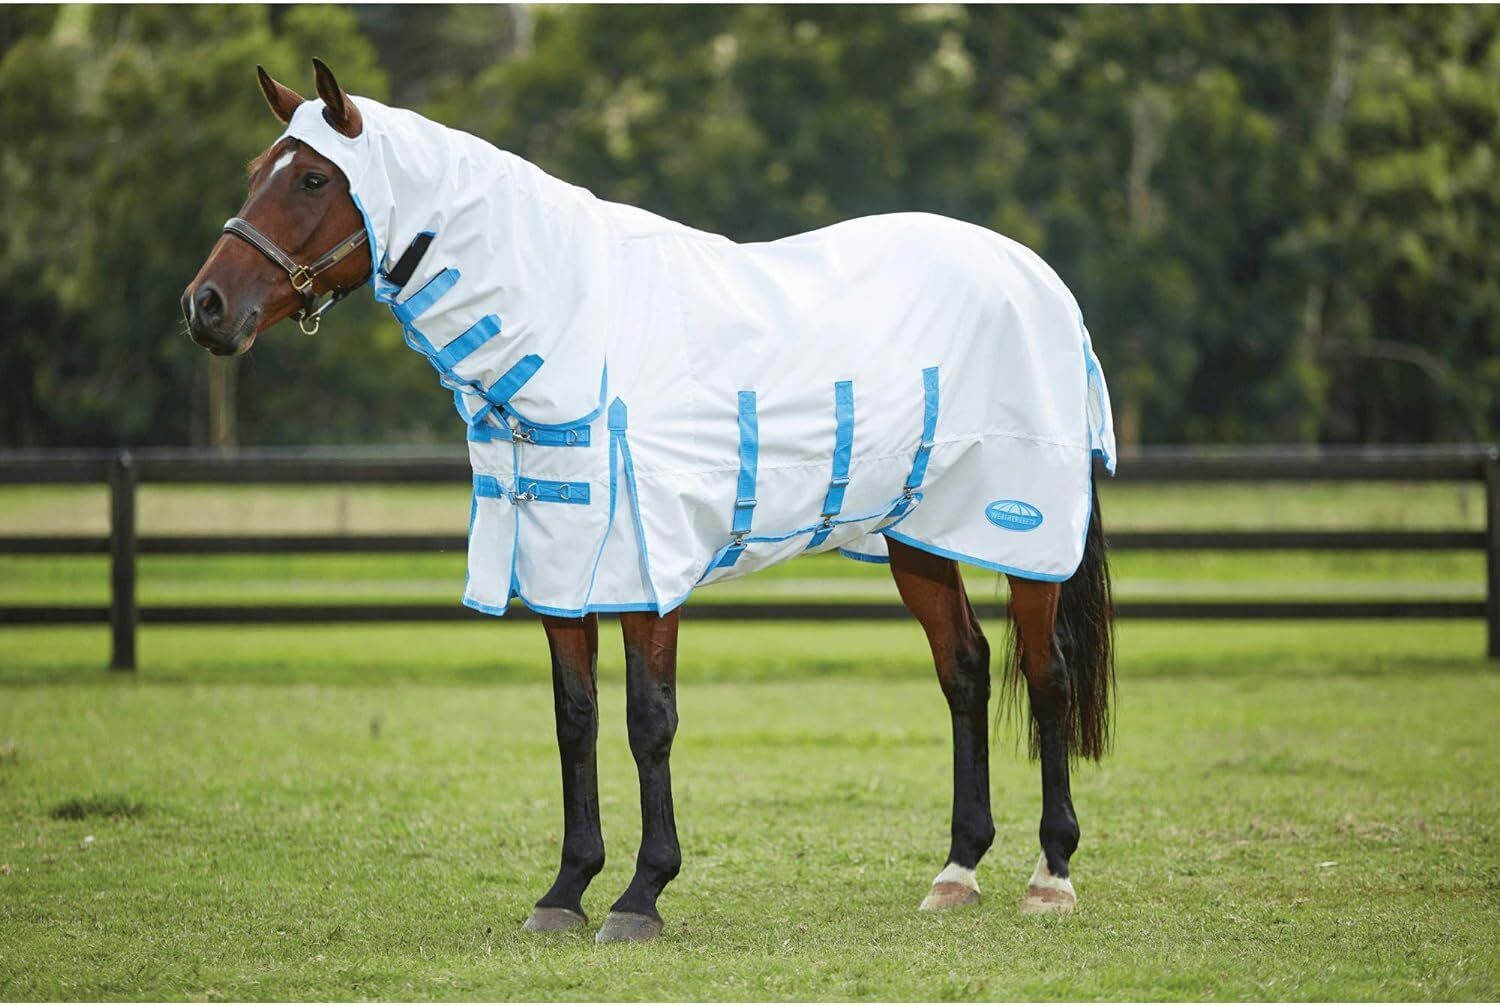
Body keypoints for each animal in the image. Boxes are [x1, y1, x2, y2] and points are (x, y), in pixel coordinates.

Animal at [183, 59, 1116, 944]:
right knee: (963, 668)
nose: (206, 307)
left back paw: (1052, 876)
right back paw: (957, 870)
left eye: (313, 179)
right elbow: (576, 719)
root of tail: (1040, 280)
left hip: (1023, 539)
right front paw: (565, 890)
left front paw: (642, 895)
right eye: (257, 168)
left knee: (1047, 676)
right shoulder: (560, 566)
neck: (575, 326)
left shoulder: (644, 571)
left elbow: (647, 720)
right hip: (919, 536)